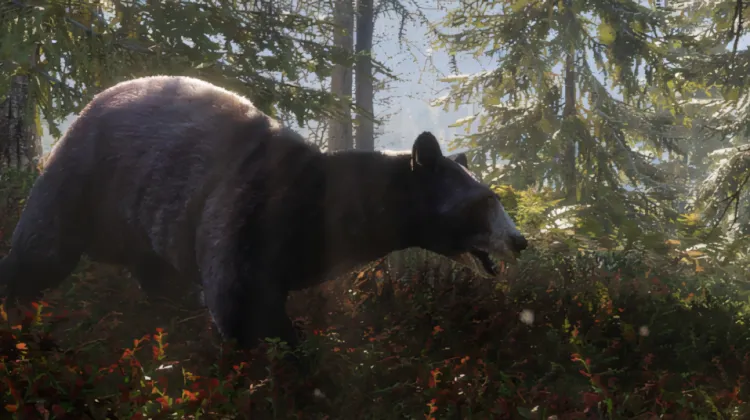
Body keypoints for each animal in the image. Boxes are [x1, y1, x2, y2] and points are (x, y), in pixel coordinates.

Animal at [0, 75, 528, 352]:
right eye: (484, 201)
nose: (519, 240)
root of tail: (94, 102)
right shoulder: (248, 213)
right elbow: (243, 301)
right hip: (86, 178)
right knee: (41, 249)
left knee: (156, 272)